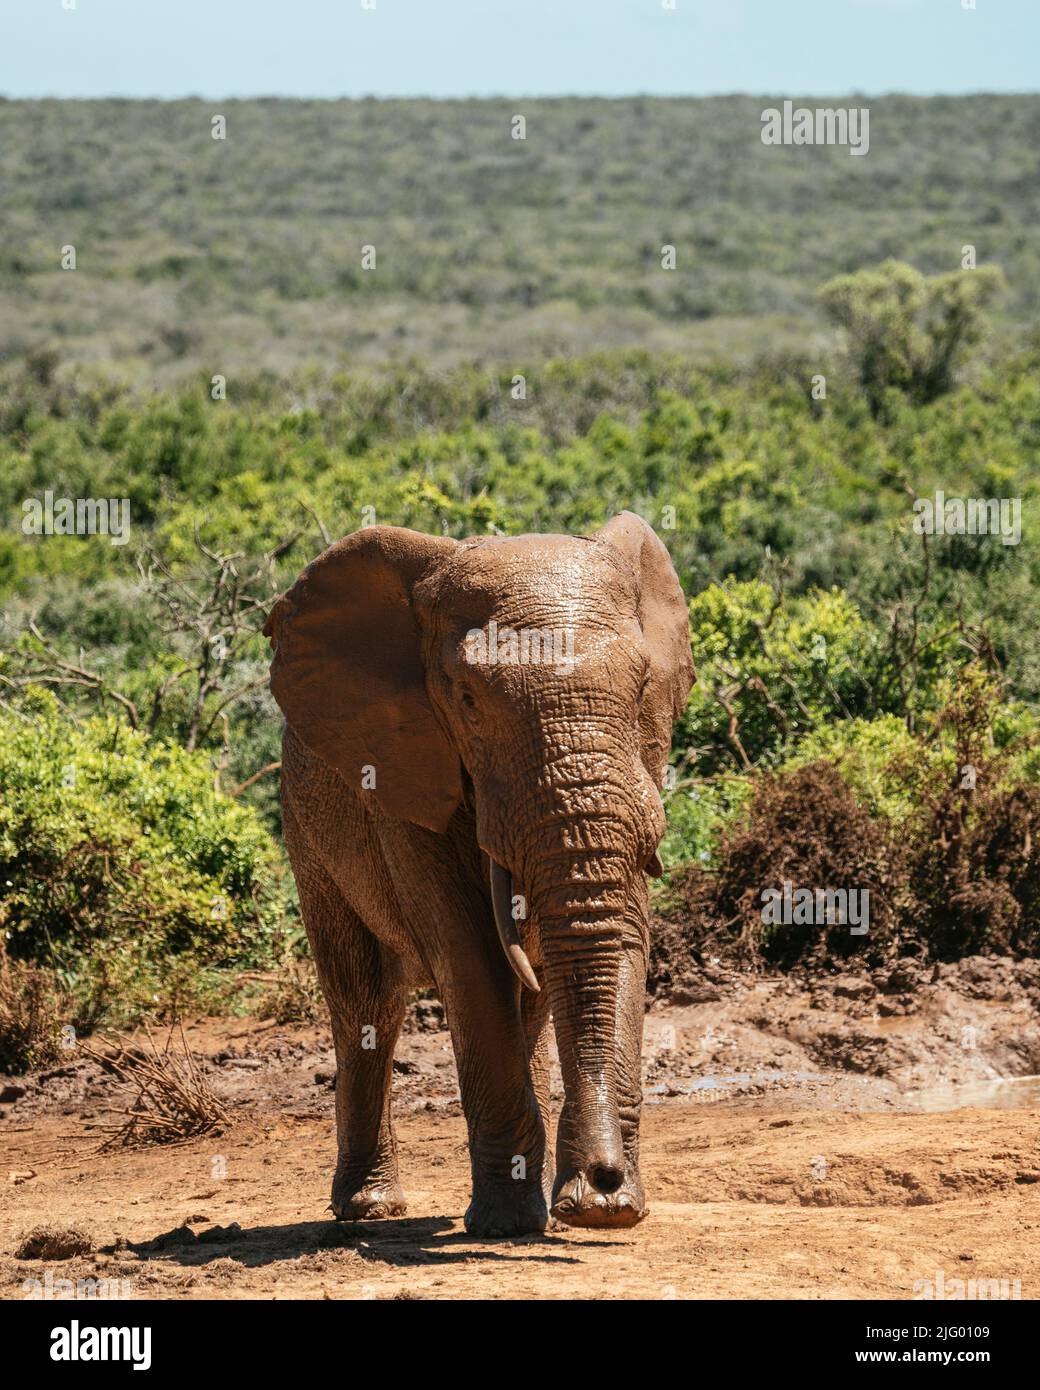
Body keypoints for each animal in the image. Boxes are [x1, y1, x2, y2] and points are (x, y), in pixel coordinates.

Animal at [264, 514, 695, 1239]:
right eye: (467, 701)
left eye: (642, 690)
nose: (605, 1182)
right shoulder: (401, 771)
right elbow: (468, 954)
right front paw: (506, 1224)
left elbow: (615, 937)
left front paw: (591, 1209)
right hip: (304, 825)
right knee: (365, 1004)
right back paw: (369, 1209)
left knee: (529, 1000)